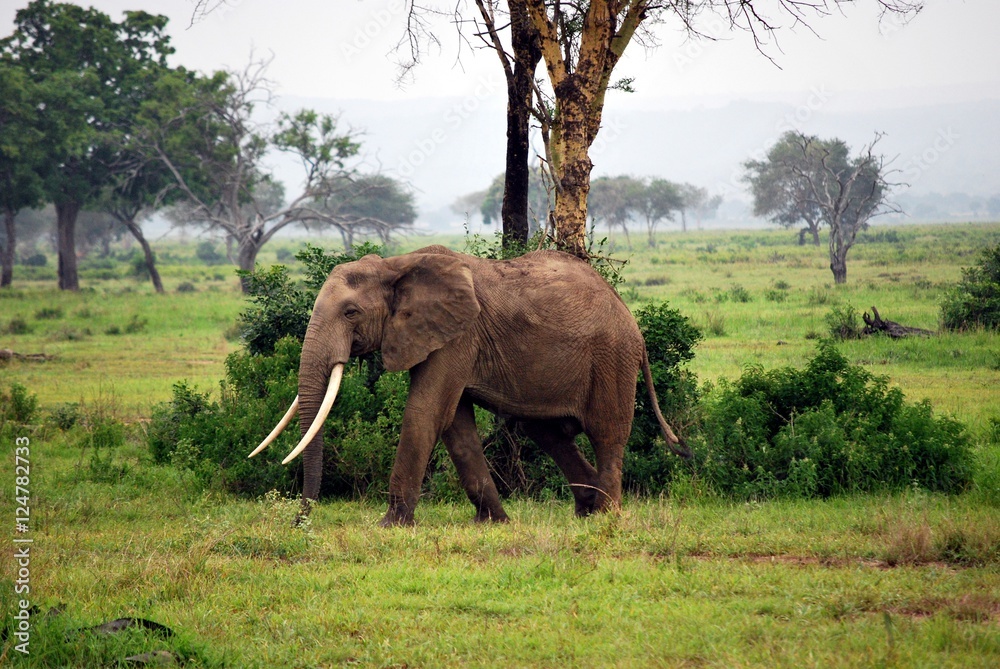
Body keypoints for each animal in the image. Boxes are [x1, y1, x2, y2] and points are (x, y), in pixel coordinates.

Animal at [250, 245, 690, 526]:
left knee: (607, 433)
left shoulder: (458, 335)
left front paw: (390, 525)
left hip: (611, 358)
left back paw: (607, 518)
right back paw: (586, 511)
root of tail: (630, 317)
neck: (396, 265)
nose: (300, 522)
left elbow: (426, 411)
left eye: (351, 312)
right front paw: (494, 523)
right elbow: (455, 426)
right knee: (547, 433)